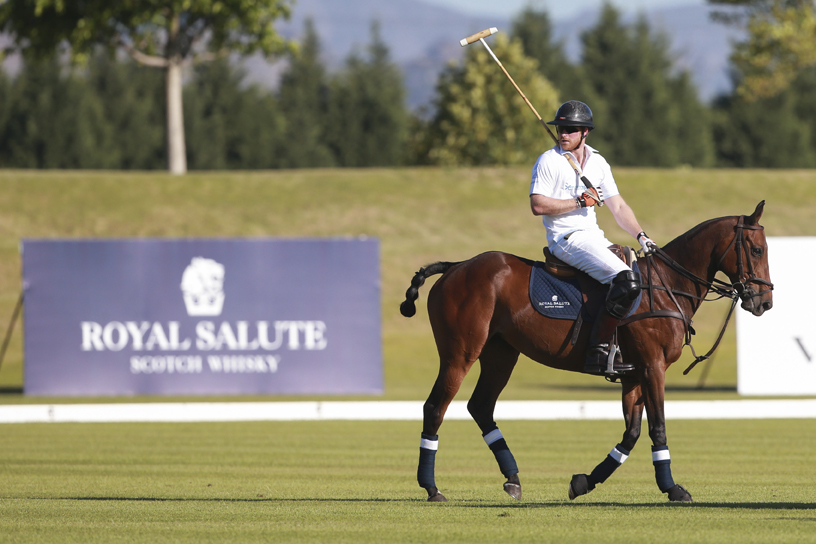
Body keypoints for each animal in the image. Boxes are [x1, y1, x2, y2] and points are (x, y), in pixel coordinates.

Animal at [400, 201, 772, 502]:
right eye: (756, 250)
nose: (764, 302)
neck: (667, 285)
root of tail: (456, 266)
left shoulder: (634, 374)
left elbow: (631, 434)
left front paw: (583, 482)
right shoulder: (653, 367)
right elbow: (658, 428)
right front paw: (673, 488)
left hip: (501, 353)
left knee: (480, 406)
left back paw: (513, 478)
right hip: (460, 352)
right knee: (435, 407)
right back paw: (431, 487)